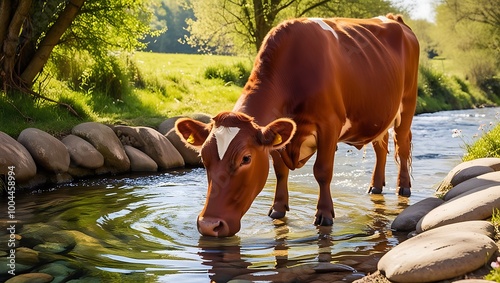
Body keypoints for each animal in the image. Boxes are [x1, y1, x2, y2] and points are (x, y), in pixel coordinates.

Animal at [175, 14, 418, 239]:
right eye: (203, 157)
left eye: (246, 158)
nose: (209, 225)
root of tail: (393, 18)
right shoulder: (280, 134)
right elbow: (280, 171)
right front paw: (278, 208)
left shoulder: (329, 124)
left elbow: (322, 171)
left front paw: (324, 214)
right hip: (381, 115)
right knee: (381, 147)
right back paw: (376, 185)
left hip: (407, 105)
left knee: (402, 145)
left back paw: (404, 187)